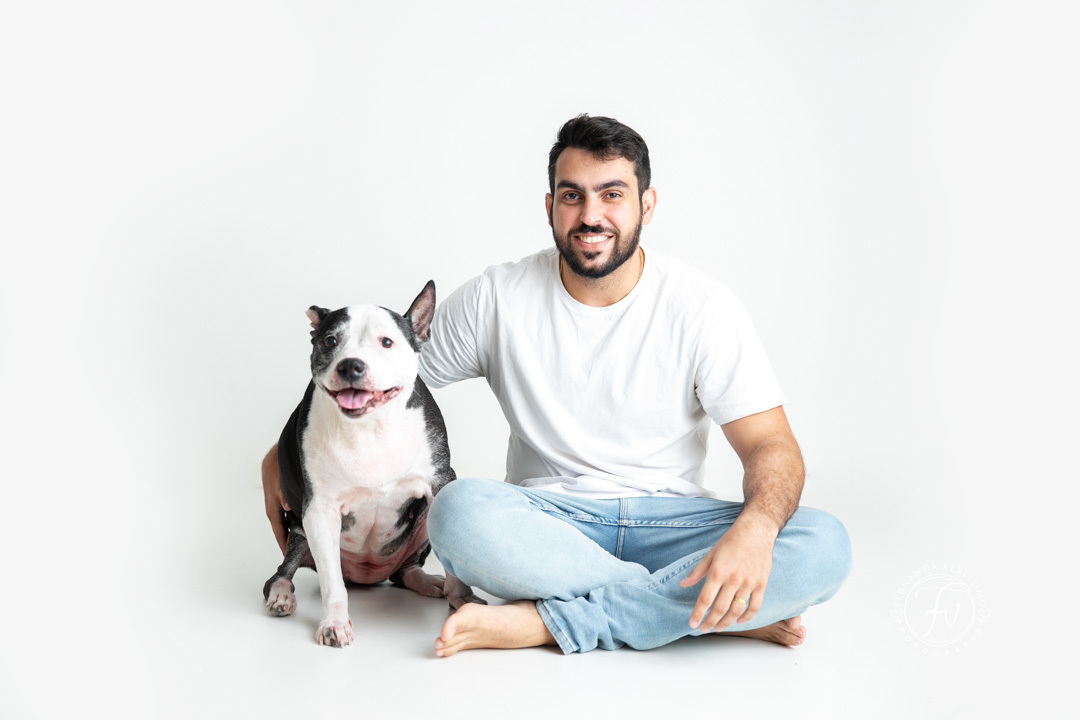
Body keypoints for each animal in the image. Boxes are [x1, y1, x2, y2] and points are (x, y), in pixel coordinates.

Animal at [262, 281, 482, 647]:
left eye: (387, 342)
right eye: (330, 341)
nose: (351, 365)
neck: (370, 426)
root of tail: (366, 577)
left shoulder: (440, 482)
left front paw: (462, 598)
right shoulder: (318, 510)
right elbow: (331, 584)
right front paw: (334, 623)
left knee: (405, 572)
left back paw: (429, 582)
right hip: (300, 531)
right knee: (283, 573)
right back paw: (281, 594)